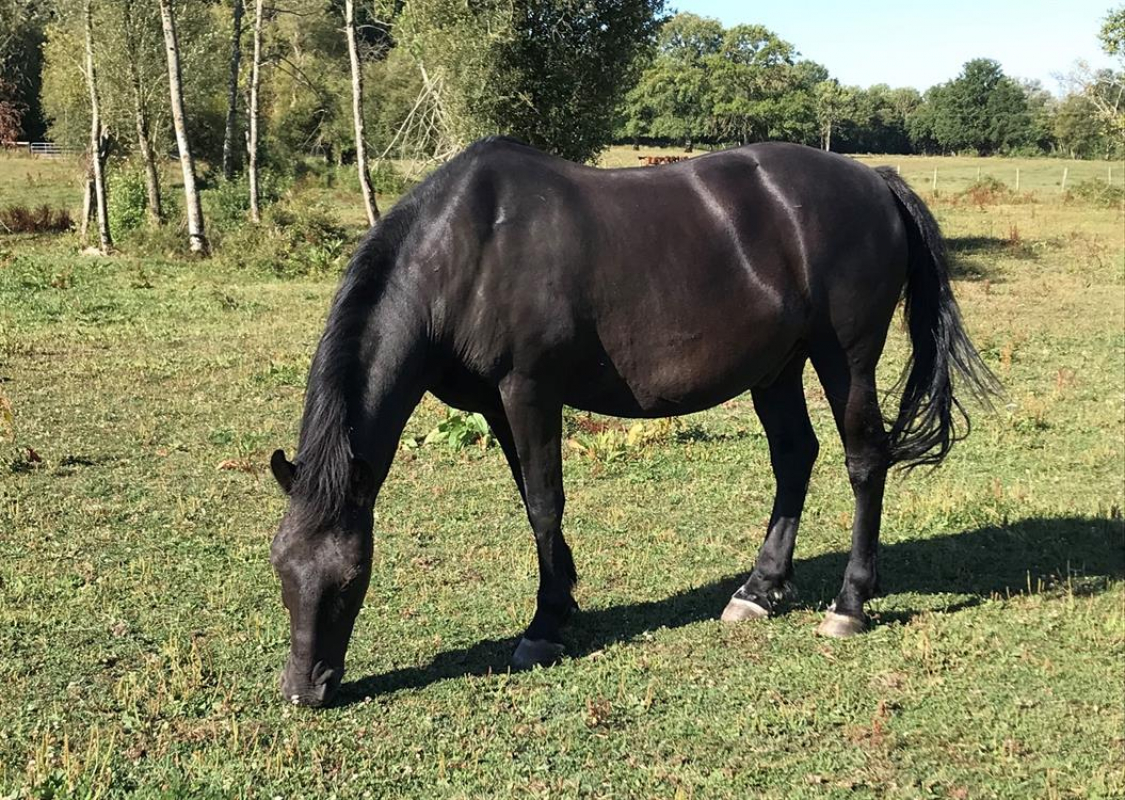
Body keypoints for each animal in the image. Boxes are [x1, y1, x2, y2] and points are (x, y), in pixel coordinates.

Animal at [267, 137, 996, 707]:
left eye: (351, 579)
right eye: (280, 570)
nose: (306, 690)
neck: (468, 248)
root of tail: (874, 180)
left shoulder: (529, 391)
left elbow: (545, 502)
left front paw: (543, 627)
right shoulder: (496, 406)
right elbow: (531, 502)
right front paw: (562, 602)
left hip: (845, 358)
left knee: (864, 460)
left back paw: (849, 604)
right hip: (777, 369)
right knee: (794, 456)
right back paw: (759, 589)